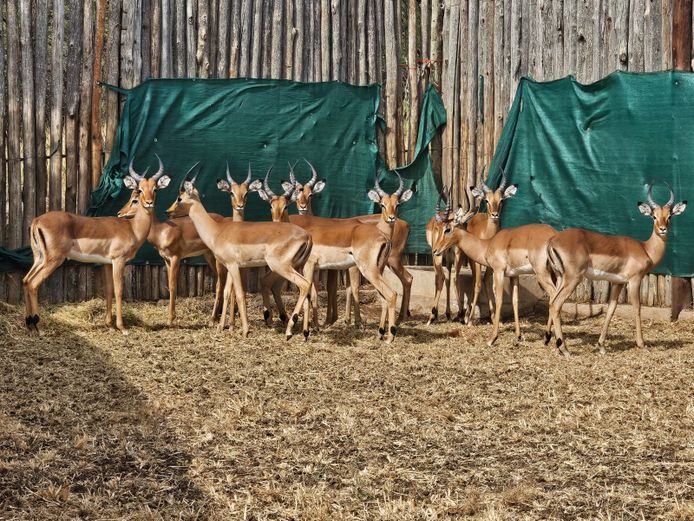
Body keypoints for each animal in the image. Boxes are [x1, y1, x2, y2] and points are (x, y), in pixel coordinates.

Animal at [23, 156, 171, 334]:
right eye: (139, 191)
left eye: (155, 189)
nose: (149, 203)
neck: (132, 229)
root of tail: (37, 221)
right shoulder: (118, 260)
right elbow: (119, 290)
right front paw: (122, 327)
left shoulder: (107, 263)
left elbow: (108, 290)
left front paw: (109, 324)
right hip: (53, 260)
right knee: (33, 284)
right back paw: (39, 327)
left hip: (39, 259)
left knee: (26, 280)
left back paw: (29, 324)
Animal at [167, 163, 314, 339]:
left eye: (179, 198)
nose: (168, 211)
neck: (218, 231)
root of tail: (306, 235)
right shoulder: (231, 267)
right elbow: (226, 292)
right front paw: (222, 327)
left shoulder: (233, 266)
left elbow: (239, 294)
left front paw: (244, 330)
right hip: (298, 266)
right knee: (307, 289)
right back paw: (304, 332)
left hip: (281, 267)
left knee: (304, 285)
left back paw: (289, 330)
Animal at [432, 197, 557, 347]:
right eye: (439, 228)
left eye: (447, 229)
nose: (435, 250)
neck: (488, 244)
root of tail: (554, 235)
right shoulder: (514, 275)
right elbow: (515, 301)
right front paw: (518, 336)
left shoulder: (498, 272)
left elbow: (499, 299)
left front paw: (492, 338)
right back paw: (547, 338)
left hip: (542, 274)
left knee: (555, 296)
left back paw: (553, 339)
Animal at [546, 183, 687, 355]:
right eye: (653, 216)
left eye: (670, 216)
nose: (662, 229)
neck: (645, 249)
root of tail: (553, 240)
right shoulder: (634, 280)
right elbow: (637, 308)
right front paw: (642, 344)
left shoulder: (618, 283)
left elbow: (611, 310)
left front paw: (601, 346)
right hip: (573, 279)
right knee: (556, 305)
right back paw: (565, 349)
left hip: (561, 278)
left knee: (551, 301)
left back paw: (552, 343)